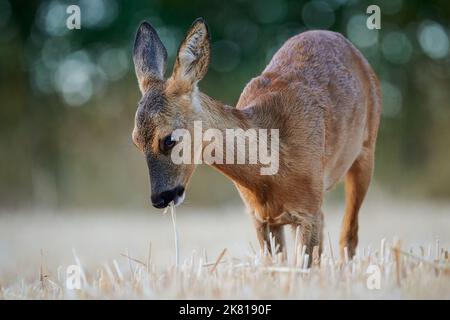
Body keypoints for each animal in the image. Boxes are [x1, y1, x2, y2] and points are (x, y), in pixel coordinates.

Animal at [132, 18, 382, 262]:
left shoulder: (308, 210)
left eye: (168, 139)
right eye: (136, 141)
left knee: (349, 235)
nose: (160, 198)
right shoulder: (261, 217)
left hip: (365, 152)